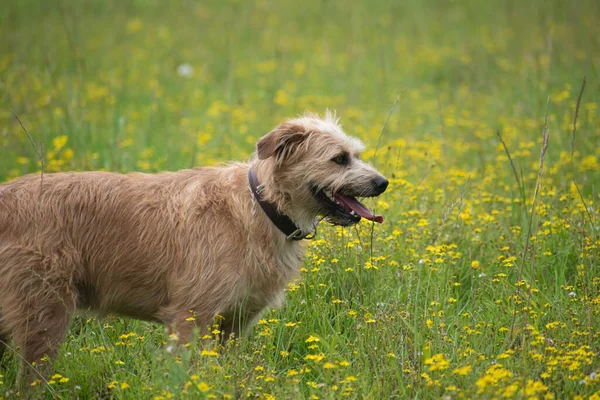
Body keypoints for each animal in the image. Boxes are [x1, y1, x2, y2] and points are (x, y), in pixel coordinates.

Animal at [0, 111, 390, 376]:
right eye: (339, 159)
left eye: (355, 155)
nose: (383, 182)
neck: (262, 206)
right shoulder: (192, 318)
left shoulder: (234, 324)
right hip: (44, 316)